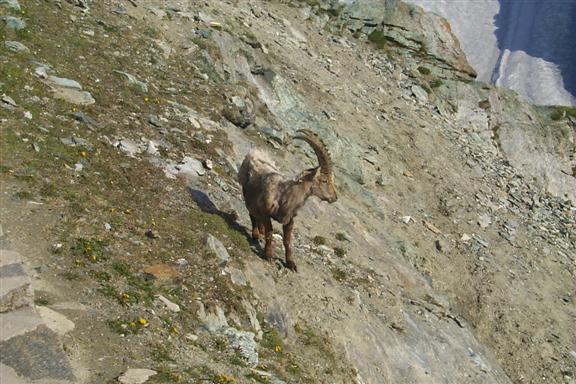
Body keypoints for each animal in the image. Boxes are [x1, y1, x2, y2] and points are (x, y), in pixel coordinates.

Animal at [238, 129, 338, 270]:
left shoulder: (290, 221)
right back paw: (256, 234)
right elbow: (270, 233)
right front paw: (268, 255)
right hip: (247, 193)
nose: (334, 197)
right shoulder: (266, 213)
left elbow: (287, 241)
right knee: (252, 214)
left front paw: (291, 263)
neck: (284, 197)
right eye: (324, 180)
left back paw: (260, 231)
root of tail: (255, 152)